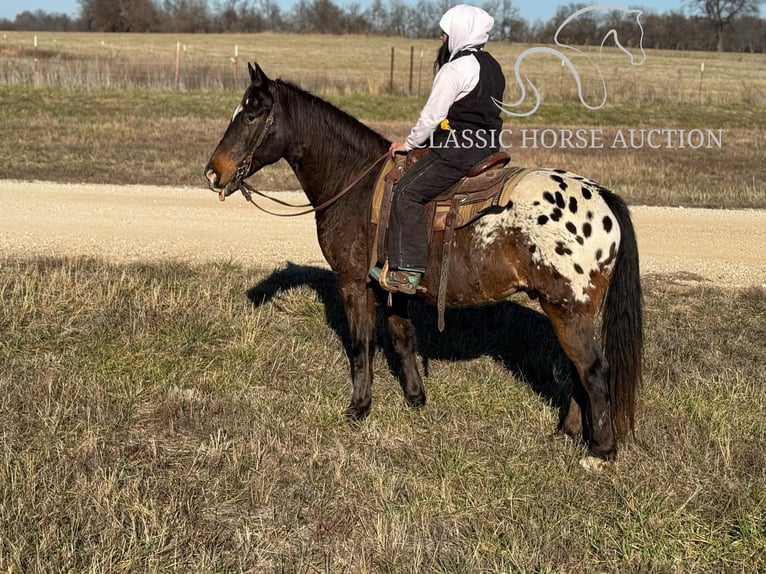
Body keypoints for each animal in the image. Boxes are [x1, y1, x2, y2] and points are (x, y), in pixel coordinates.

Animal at [207, 63, 644, 470]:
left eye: (251, 115)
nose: (212, 172)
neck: (355, 183)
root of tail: (602, 196)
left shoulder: (354, 284)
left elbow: (362, 344)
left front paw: (358, 407)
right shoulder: (392, 286)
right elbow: (403, 338)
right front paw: (416, 398)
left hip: (566, 309)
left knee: (594, 369)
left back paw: (600, 452)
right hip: (569, 311)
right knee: (578, 369)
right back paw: (566, 432)